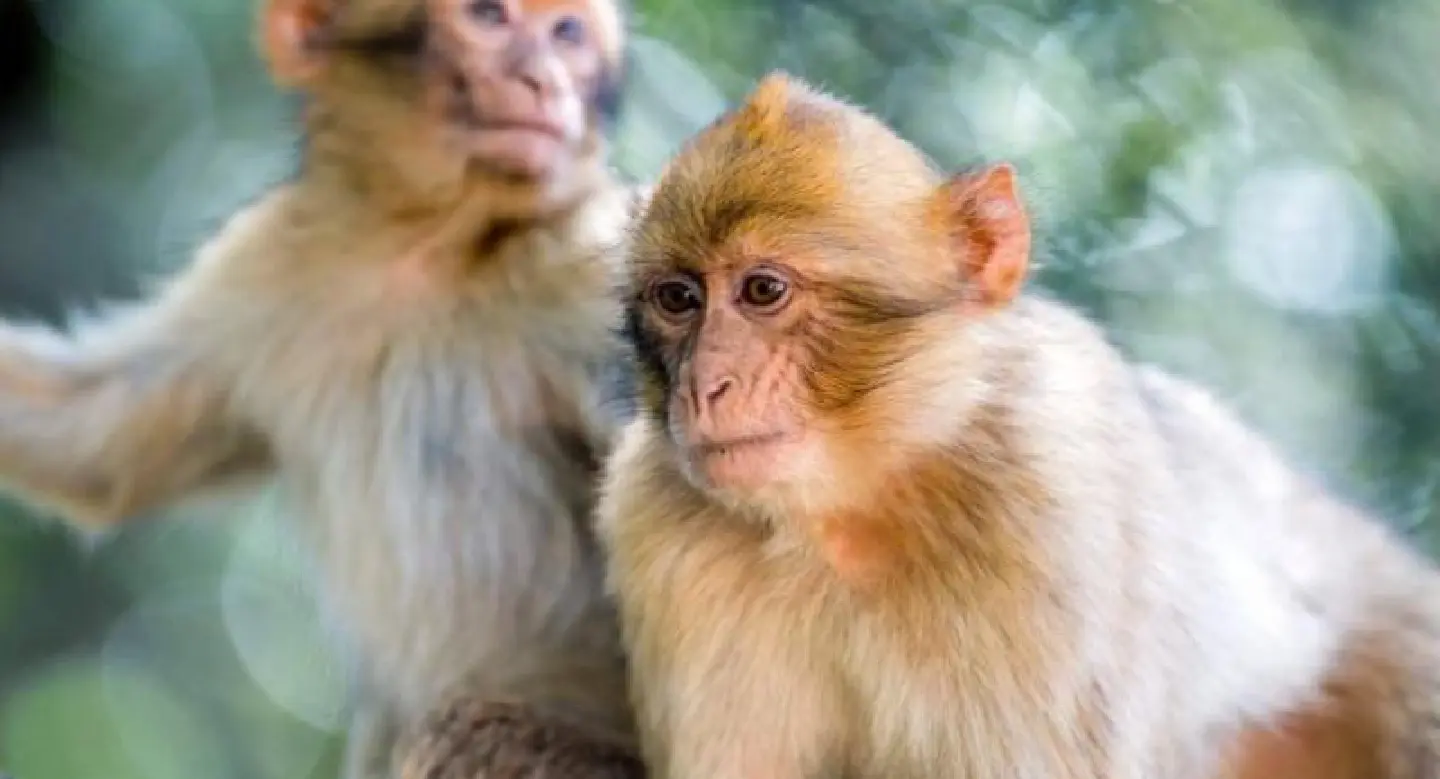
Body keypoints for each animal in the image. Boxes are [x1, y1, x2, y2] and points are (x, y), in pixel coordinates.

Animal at [0, 0, 652, 776]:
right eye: (489, 16)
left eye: (566, 35)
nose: (544, 80)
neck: (424, 247)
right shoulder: (265, 261)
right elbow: (94, 450)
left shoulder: (589, 264)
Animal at [594, 71, 1440, 779]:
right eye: (679, 299)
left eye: (762, 290)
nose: (705, 385)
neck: (849, 515)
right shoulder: (661, 529)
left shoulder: (1045, 507)